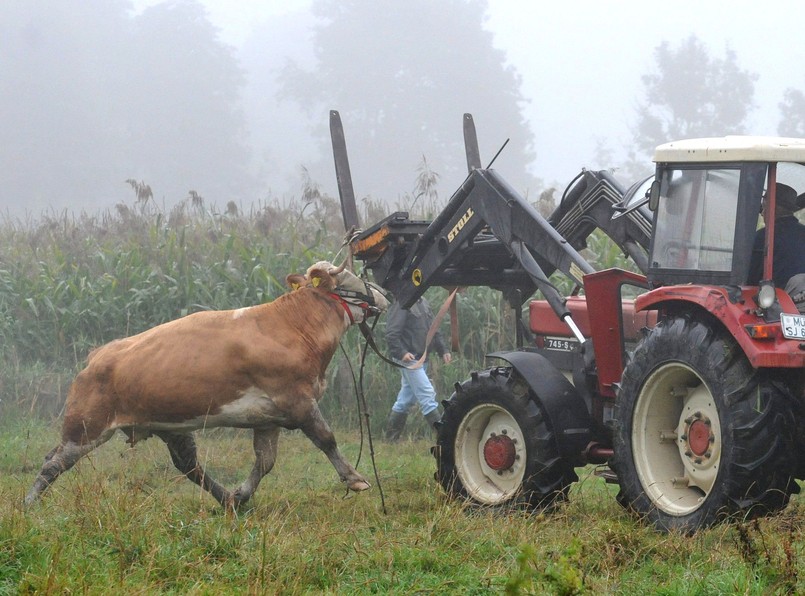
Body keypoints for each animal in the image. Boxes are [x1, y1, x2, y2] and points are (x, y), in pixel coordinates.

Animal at [23, 258, 388, 510]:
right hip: (87, 426)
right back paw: (29, 505)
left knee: (188, 466)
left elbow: (265, 461)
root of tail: (97, 356)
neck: (292, 327)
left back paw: (227, 499)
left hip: (171, 425)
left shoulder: (269, 417)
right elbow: (326, 439)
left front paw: (242, 494)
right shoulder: (297, 400)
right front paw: (355, 479)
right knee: (53, 462)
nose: (384, 293)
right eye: (351, 278)